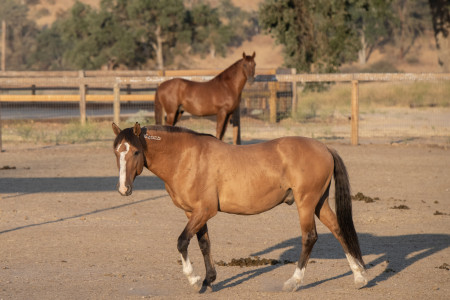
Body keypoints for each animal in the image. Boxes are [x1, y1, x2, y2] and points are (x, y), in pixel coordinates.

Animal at [111, 122, 366, 292]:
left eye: (136, 151)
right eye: (116, 152)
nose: (123, 189)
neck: (185, 158)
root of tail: (324, 148)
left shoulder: (204, 211)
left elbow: (182, 242)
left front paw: (194, 279)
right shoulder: (194, 212)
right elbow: (204, 244)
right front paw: (209, 280)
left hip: (306, 203)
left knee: (309, 237)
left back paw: (294, 282)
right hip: (319, 203)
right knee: (338, 230)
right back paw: (359, 276)